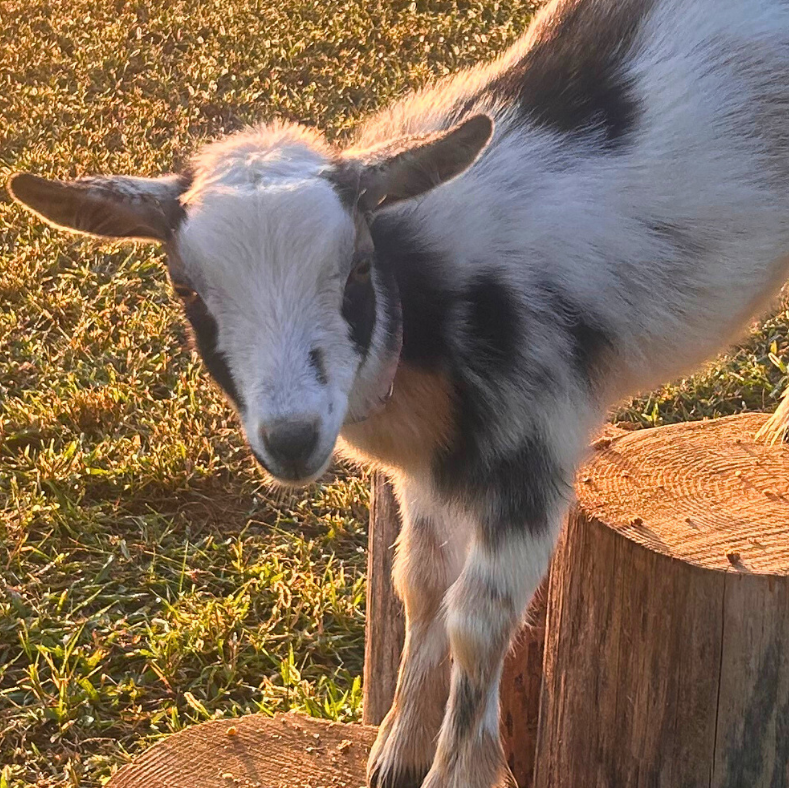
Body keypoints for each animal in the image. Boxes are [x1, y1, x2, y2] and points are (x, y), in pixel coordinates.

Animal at [9, 0, 789, 785]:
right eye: (186, 289)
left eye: (357, 266)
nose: (292, 437)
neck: (419, 305)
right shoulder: (424, 473)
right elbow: (419, 583)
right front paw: (397, 749)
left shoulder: (536, 449)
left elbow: (477, 620)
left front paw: (459, 771)